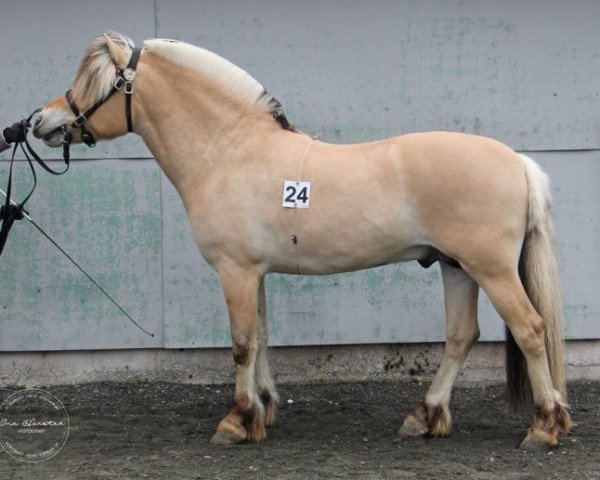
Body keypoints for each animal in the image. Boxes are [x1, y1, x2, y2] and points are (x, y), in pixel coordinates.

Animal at [32, 31, 572, 448]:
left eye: (97, 84)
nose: (41, 121)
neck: (228, 150)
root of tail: (517, 160)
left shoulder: (235, 270)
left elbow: (242, 344)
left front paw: (236, 421)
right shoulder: (253, 272)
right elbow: (262, 337)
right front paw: (263, 410)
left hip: (490, 268)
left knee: (530, 328)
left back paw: (543, 427)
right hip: (455, 266)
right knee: (462, 335)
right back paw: (424, 417)